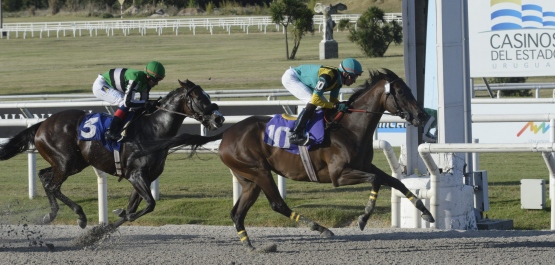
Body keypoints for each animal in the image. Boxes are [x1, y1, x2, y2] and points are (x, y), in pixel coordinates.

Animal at [0, 78, 224, 229]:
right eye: (199, 97)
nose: (219, 118)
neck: (154, 130)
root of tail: (42, 124)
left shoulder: (145, 176)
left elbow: (136, 206)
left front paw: (116, 218)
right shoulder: (135, 174)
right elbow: (149, 204)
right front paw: (120, 217)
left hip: (73, 162)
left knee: (45, 177)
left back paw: (50, 215)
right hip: (66, 162)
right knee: (53, 186)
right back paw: (80, 216)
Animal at [139, 68, 434, 250]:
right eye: (403, 93)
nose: (422, 116)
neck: (349, 127)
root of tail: (227, 132)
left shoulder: (363, 165)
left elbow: (396, 182)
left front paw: (426, 211)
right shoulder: (339, 175)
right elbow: (375, 181)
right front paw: (363, 218)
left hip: (248, 179)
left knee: (237, 213)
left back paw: (250, 245)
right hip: (259, 170)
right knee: (277, 204)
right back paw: (320, 228)